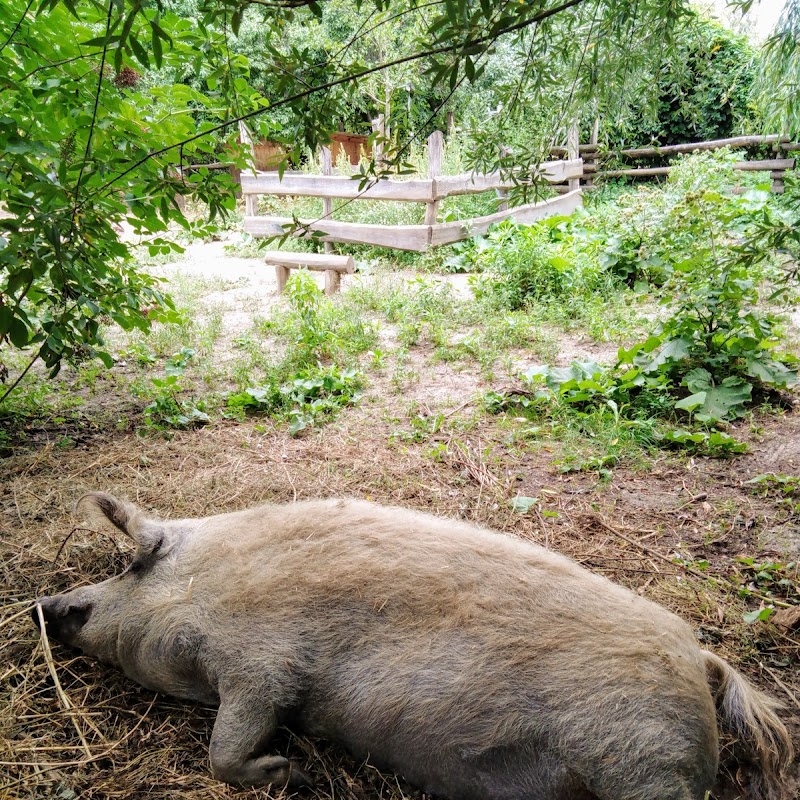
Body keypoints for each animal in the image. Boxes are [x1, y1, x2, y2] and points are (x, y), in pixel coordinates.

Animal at [32, 494, 792, 800]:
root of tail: (702, 661)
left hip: (642, 759)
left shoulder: (262, 665)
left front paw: (294, 774)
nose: (45, 605)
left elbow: (226, 751)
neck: (210, 584)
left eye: (130, 566)